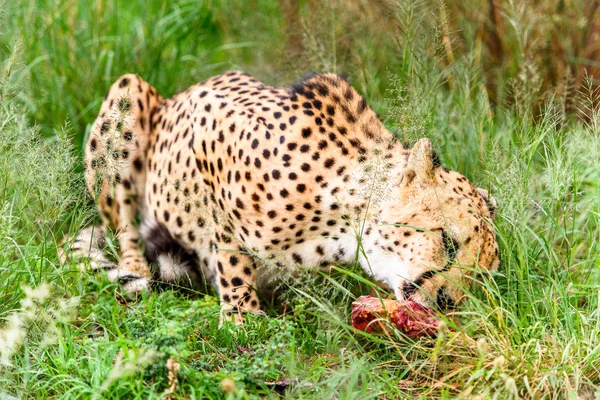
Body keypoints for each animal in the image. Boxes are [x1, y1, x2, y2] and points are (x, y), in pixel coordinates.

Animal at [63, 71, 500, 322]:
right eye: (448, 242)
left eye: (482, 276)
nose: (449, 302)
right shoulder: (209, 132)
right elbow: (229, 249)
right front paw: (242, 316)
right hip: (128, 91)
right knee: (121, 222)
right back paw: (134, 266)